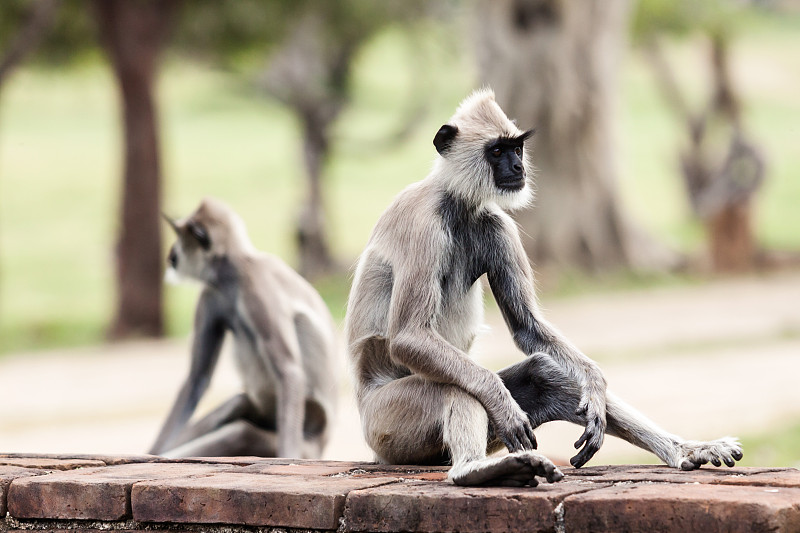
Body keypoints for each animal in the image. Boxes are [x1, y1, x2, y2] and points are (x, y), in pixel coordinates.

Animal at [150, 197, 338, 460]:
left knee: (240, 433)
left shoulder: (256, 284)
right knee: (236, 404)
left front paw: (287, 456)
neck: (232, 272)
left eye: (179, 238)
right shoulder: (211, 294)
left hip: (305, 442)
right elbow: (197, 379)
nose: (171, 255)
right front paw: (153, 451)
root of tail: (322, 445)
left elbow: (289, 370)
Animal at [346, 89, 744, 488]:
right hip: (388, 422)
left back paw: (684, 450)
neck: (457, 203)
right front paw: (503, 404)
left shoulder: (498, 225)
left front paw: (595, 385)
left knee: (543, 371)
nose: (518, 168)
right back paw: (474, 470)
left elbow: (528, 328)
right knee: (453, 383)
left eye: (517, 149)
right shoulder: (423, 224)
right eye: (496, 151)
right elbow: (409, 336)